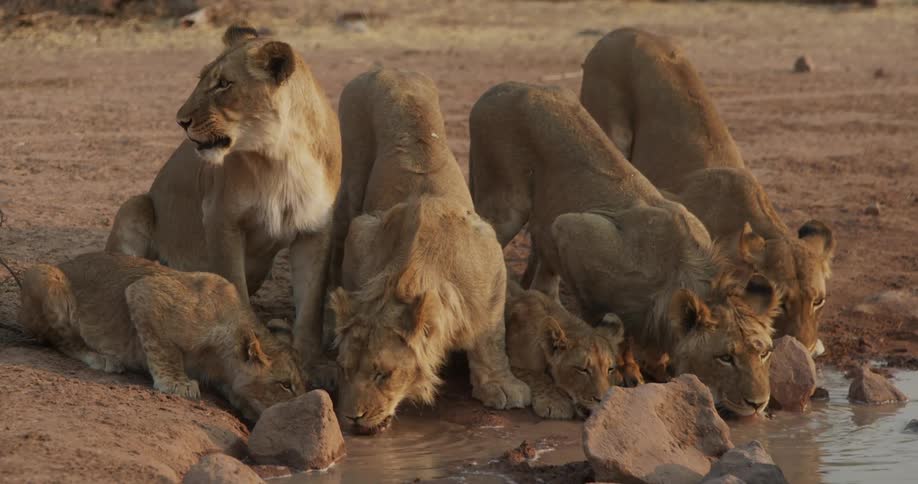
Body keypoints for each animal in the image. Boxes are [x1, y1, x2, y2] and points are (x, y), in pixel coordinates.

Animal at [18, 252, 306, 422]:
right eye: (285, 385)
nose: (299, 408)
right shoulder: (146, 293)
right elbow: (164, 350)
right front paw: (176, 383)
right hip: (45, 277)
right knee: (58, 340)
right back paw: (100, 358)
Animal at [104, 25, 342, 378]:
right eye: (202, 78)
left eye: (224, 84)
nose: (180, 120)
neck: (281, 156)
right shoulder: (221, 219)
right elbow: (235, 288)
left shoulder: (314, 230)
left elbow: (311, 304)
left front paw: (308, 360)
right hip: (135, 205)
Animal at [328, 68, 530, 434]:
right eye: (345, 368)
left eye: (383, 374)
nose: (350, 418)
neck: (412, 272)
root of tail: (385, 68)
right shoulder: (361, 234)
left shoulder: (490, 260)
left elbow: (491, 337)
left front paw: (501, 386)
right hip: (352, 176)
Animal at [505, 281, 637, 420]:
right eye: (583, 370)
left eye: (610, 369)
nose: (601, 401)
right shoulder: (510, 361)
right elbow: (536, 375)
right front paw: (556, 403)